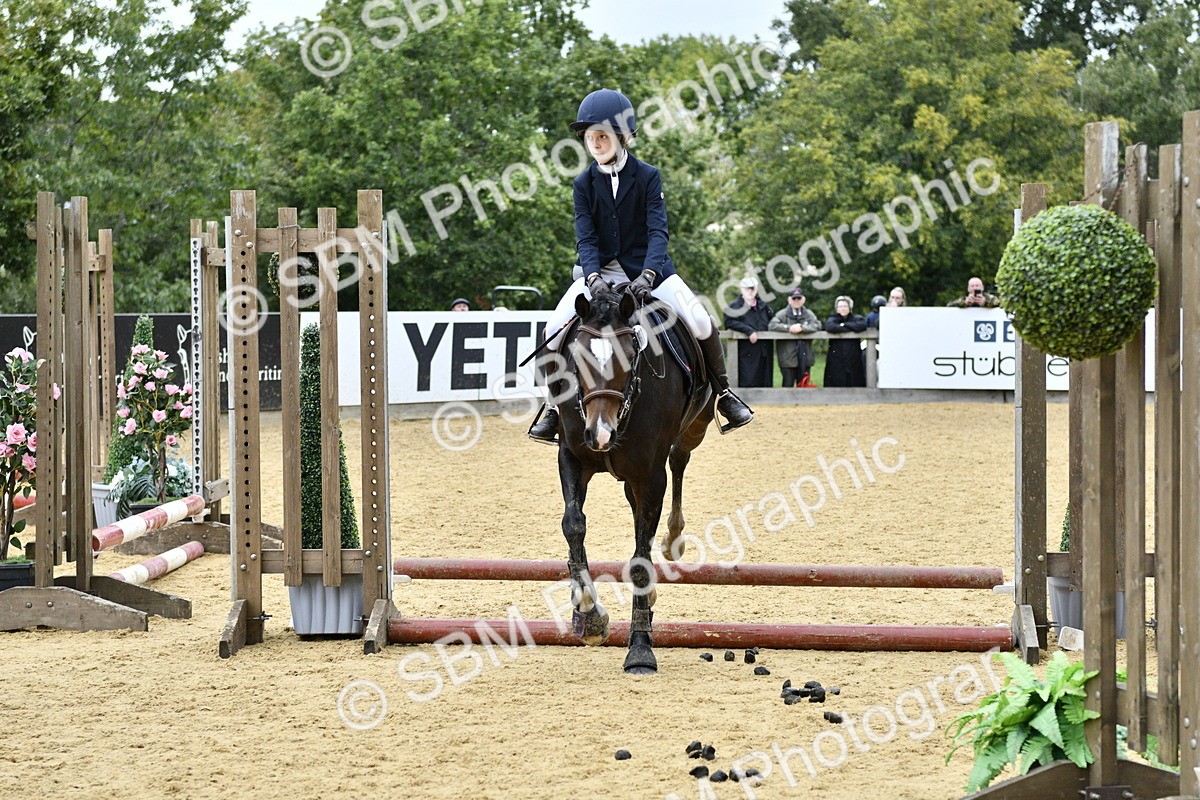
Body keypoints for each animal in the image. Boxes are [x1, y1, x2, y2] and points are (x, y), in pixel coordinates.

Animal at [545, 287, 714, 674]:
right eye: (578, 359)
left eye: (628, 359)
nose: (600, 433)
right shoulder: (572, 458)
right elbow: (573, 525)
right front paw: (589, 615)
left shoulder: (650, 475)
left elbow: (639, 561)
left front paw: (639, 651)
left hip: (695, 427)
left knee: (679, 460)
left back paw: (674, 538)